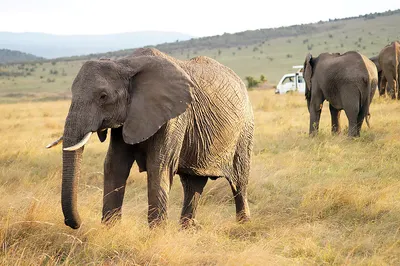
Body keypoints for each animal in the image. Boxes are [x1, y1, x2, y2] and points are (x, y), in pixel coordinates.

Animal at [47, 48, 253, 231]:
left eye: (103, 96)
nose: (77, 224)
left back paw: (243, 224)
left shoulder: (174, 117)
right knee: (193, 184)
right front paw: (110, 229)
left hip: (245, 131)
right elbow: (115, 165)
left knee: (239, 182)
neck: (126, 63)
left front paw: (156, 234)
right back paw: (188, 229)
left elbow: (159, 166)